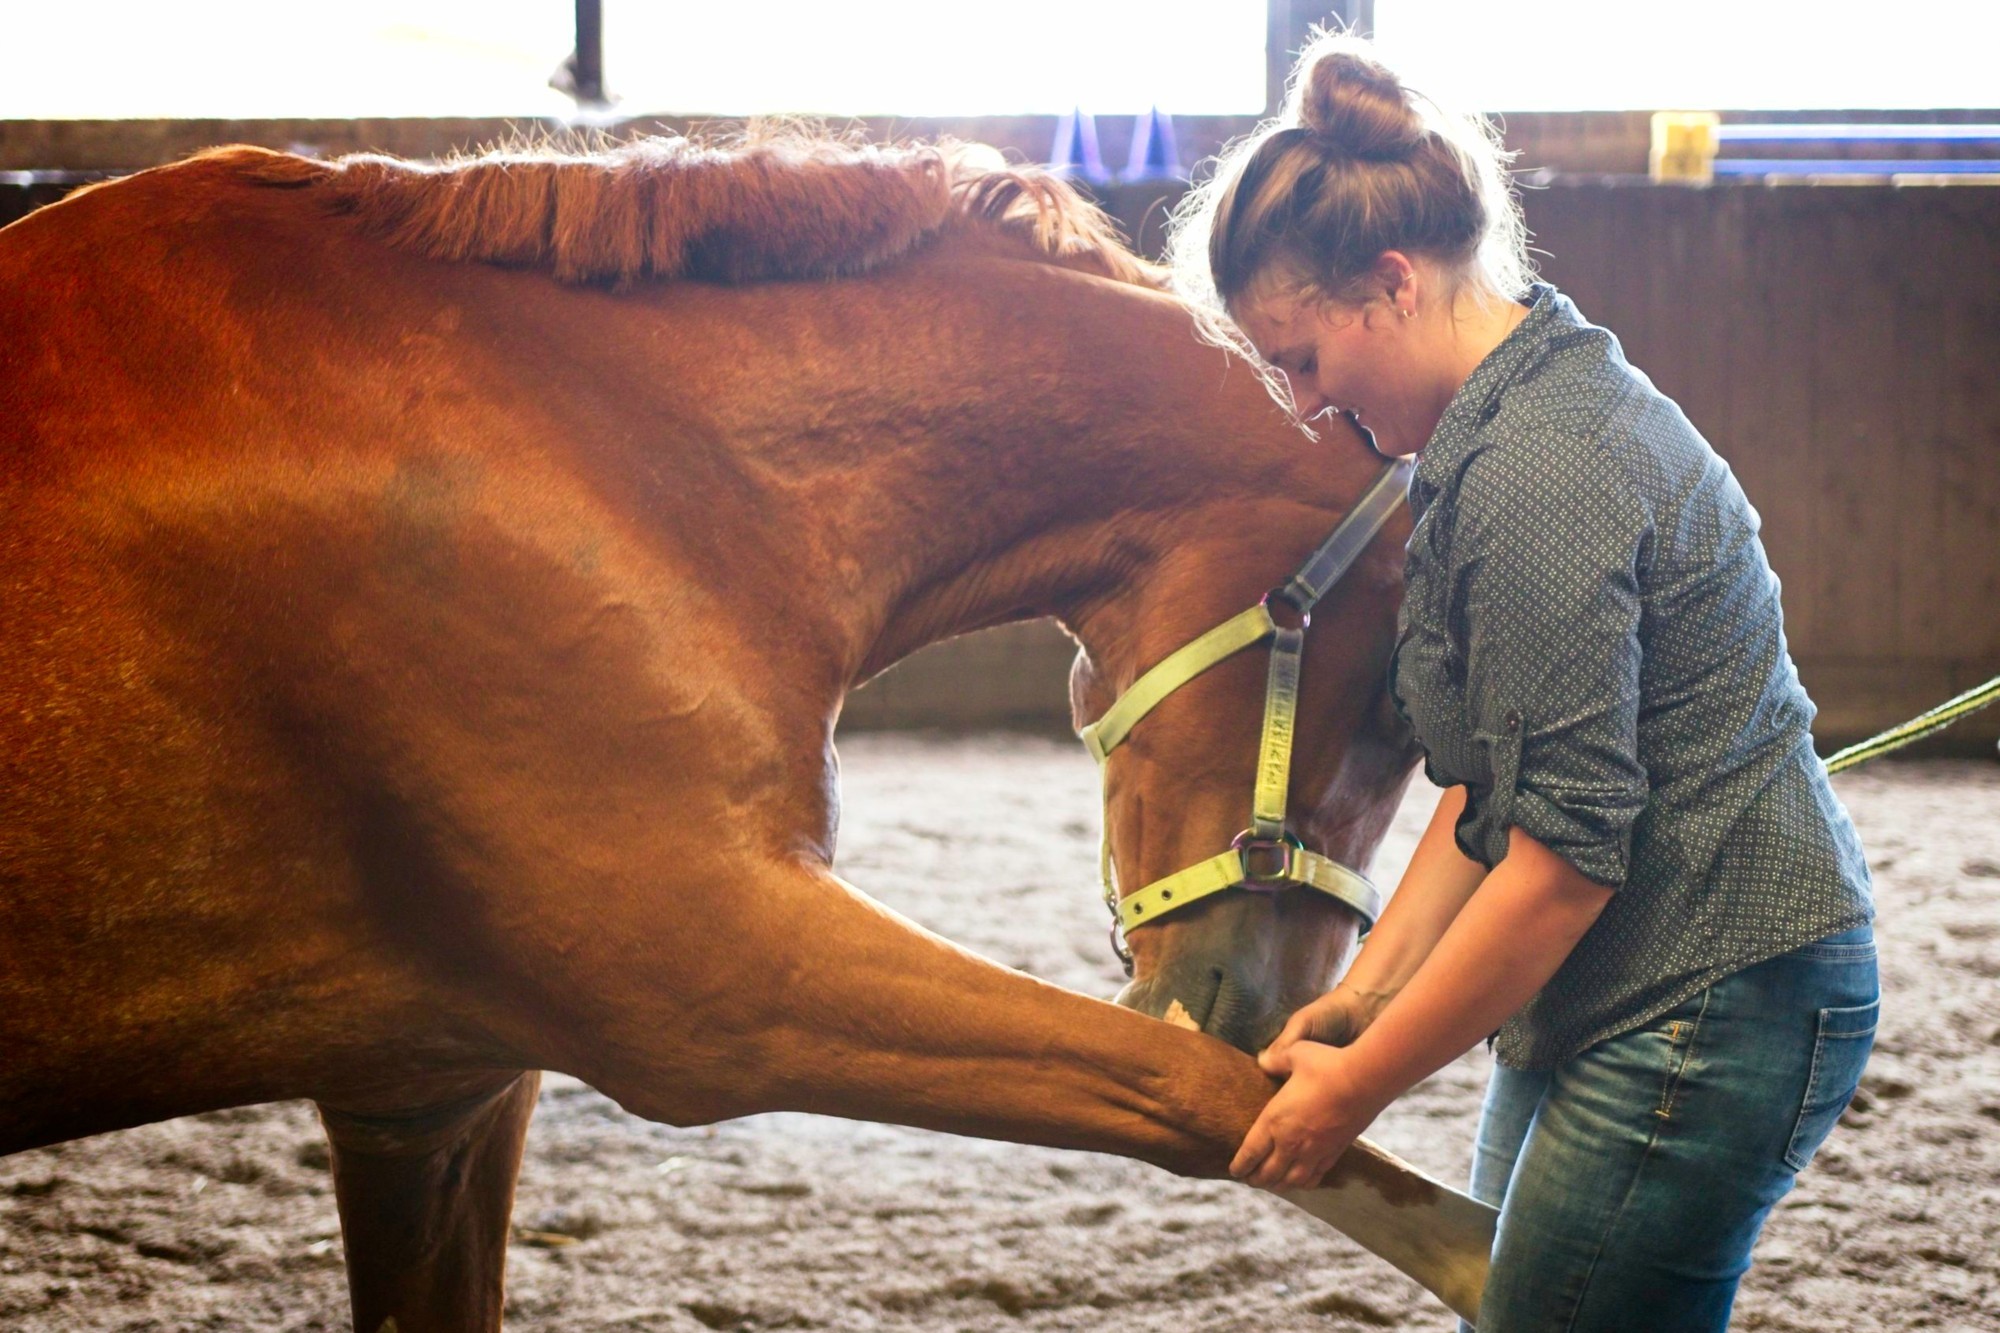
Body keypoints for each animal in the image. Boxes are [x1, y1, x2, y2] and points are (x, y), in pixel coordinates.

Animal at [0, 132, 1496, 1320]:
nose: (1265, 1002)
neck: (609, 445)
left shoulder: (427, 1090)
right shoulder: (715, 987)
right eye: (1395, 696)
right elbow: (1199, 1096)